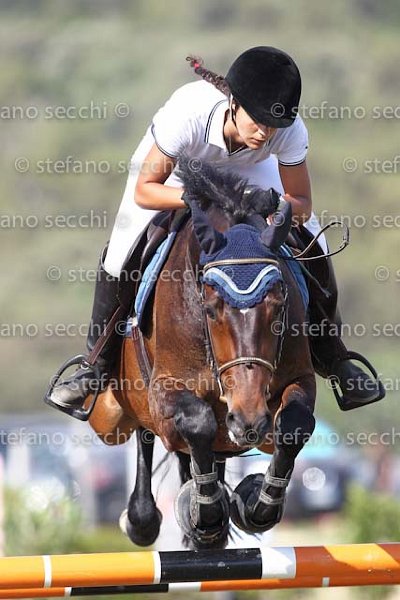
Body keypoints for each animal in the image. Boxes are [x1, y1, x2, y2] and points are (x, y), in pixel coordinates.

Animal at [87, 157, 316, 550]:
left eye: (279, 304)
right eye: (210, 308)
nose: (248, 421)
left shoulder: (298, 377)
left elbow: (294, 425)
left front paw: (256, 504)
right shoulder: (165, 388)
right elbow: (198, 424)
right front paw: (204, 512)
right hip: (124, 406)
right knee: (151, 439)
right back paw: (146, 518)